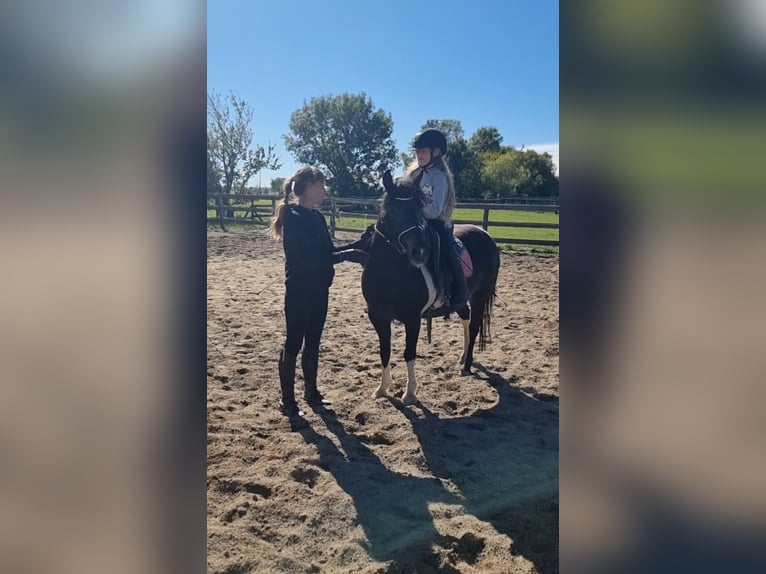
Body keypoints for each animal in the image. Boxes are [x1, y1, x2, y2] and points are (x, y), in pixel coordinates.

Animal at [361, 169, 500, 405]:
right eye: (392, 210)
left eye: (419, 207)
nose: (419, 252)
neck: (389, 271)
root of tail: (486, 235)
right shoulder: (378, 316)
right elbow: (384, 351)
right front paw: (382, 389)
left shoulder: (413, 318)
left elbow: (409, 353)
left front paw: (409, 393)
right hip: (461, 300)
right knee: (466, 316)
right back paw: (462, 357)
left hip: (480, 297)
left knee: (474, 326)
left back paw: (466, 366)